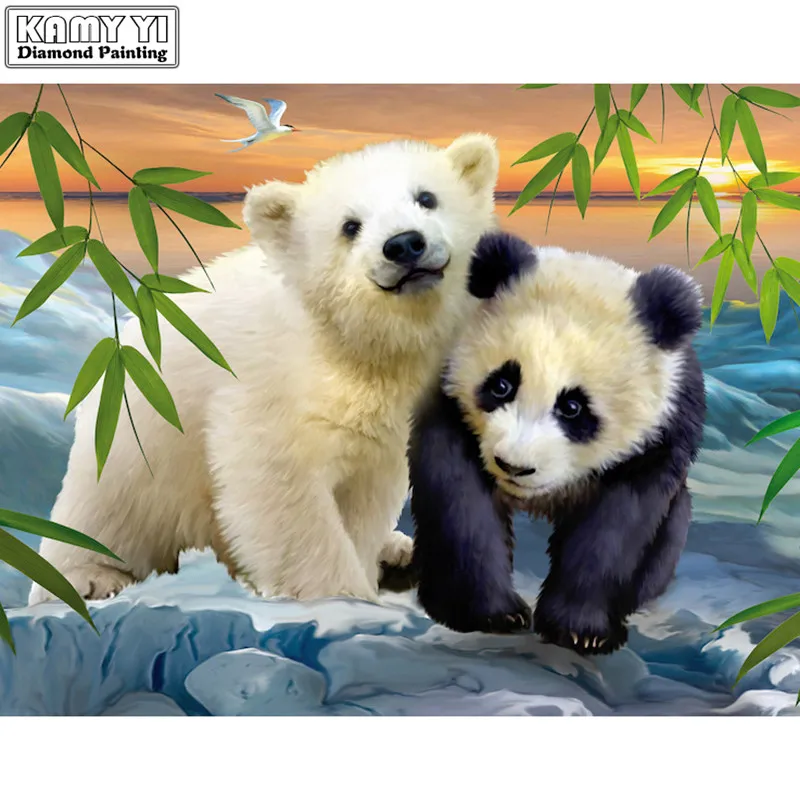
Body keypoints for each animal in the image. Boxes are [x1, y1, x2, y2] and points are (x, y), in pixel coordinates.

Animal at [29, 133, 500, 606]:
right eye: (350, 226)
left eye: (427, 198)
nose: (403, 244)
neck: (353, 346)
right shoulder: (269, 383)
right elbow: (279, 491)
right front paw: (341, 593)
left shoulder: (391, 418)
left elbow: (364, 495)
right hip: (136, 436)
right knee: (106, 507)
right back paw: (88, 577)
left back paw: (397, 550)